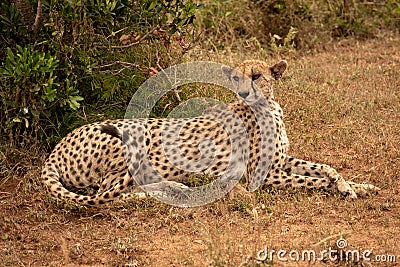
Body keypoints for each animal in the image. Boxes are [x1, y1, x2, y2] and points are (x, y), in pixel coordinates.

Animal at [42, 60, 380, 206]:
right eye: (235, 77)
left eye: (256, 75)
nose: (243, 91)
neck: (267, 107)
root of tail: (57, 146)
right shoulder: (263, 175)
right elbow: (313, 181)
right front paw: (341, 189)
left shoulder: (281, 162)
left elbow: (327, 168)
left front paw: (358, 186)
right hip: (134, 144)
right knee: (106, 193)